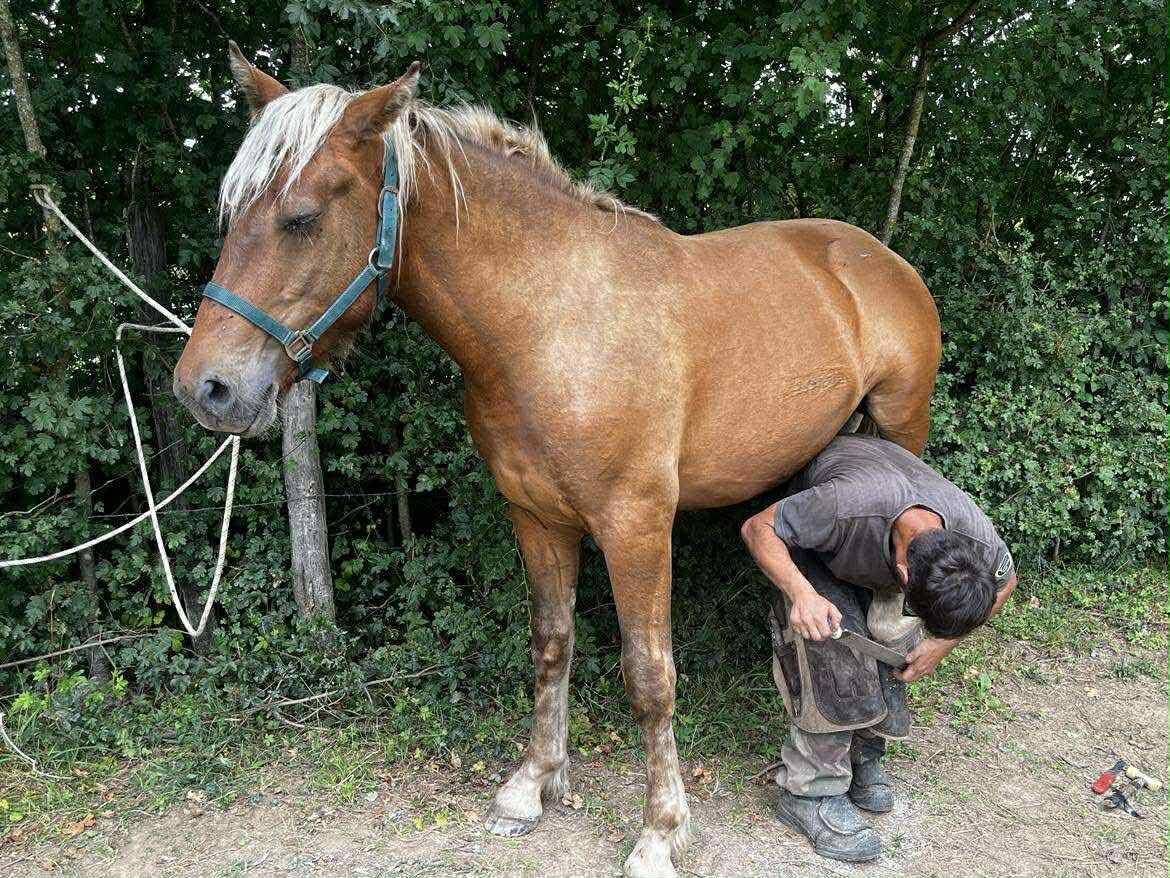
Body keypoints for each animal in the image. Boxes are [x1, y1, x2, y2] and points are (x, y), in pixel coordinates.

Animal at [173, 45, 941, 878]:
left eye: (302, 218)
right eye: (230, 215)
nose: (205, 389)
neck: (552, 323)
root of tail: (877, 258)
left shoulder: (637, 525)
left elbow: (650, 677)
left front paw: (661, 828)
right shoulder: (537, 518)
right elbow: (551, 647)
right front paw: (533, 784)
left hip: (899, 432)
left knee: (889, 594)